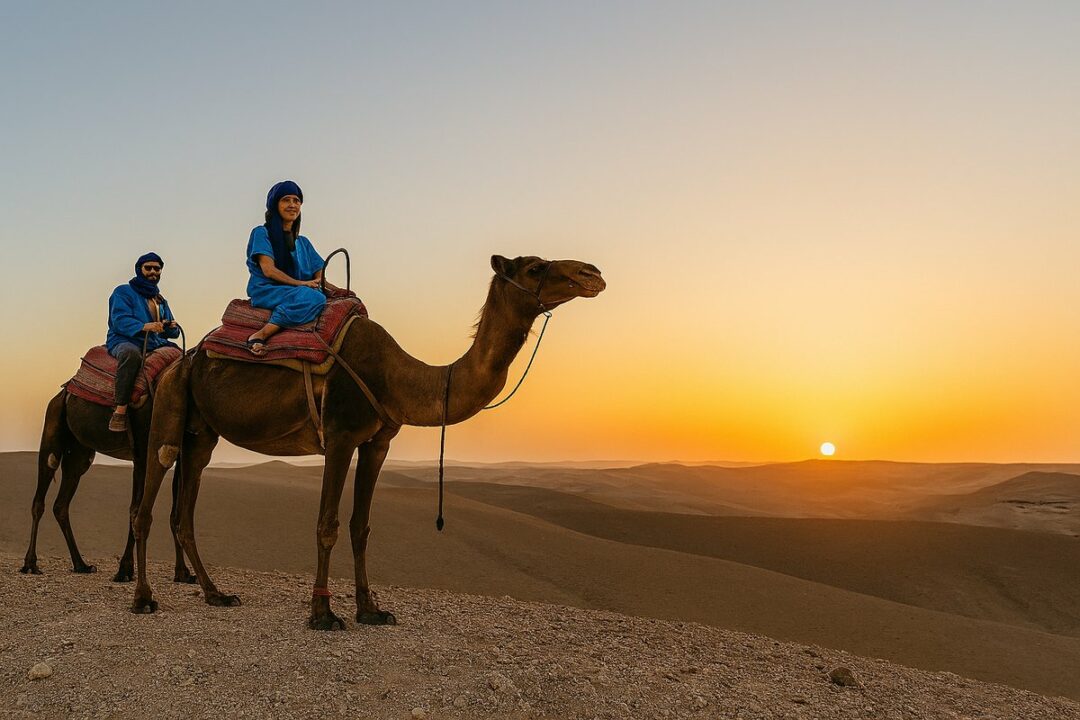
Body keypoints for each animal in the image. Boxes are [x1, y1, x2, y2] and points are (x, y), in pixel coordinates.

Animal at [21, 388, 195, 584]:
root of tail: (60, 395)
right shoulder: (142, 452)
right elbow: (136, 509)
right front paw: (125, 570)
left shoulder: (178, 454)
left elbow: (175, 514)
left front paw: (182, 573)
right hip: (53, 425)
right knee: (40, 496)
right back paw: (30, 564)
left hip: (79, 451)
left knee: (61, 504)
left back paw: (81, 565)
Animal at [131, 254, 605, 629]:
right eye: (535, 267)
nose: (593, 273)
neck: (396, 376)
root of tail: (182, 359)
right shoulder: (340, 436)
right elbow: (327, 525)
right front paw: (323, 614)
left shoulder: (378, 443)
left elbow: (362, 526)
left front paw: (371, 609)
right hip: (168, 412)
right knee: (146, 503)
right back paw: (143, 598)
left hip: (202, 435)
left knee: (184, 513)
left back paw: (216, 593)